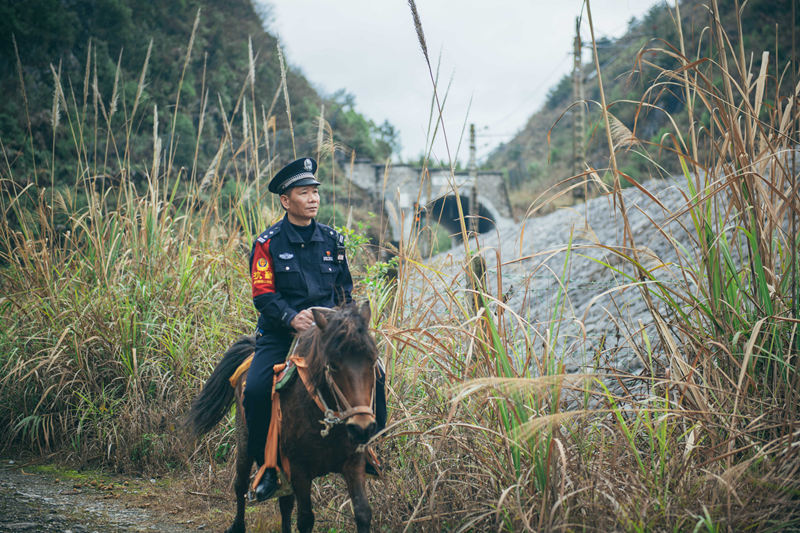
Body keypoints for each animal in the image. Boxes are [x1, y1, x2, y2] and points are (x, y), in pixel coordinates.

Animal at [186, 302, 380, 528]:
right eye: (332, 365)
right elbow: (305, 519)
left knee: (285, 503)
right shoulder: (299, 469)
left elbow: (363, 513)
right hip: (245, 440)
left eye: (373, 360)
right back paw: (238, 524)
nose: (362, 428)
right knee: (240, 485)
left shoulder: (353, 462)